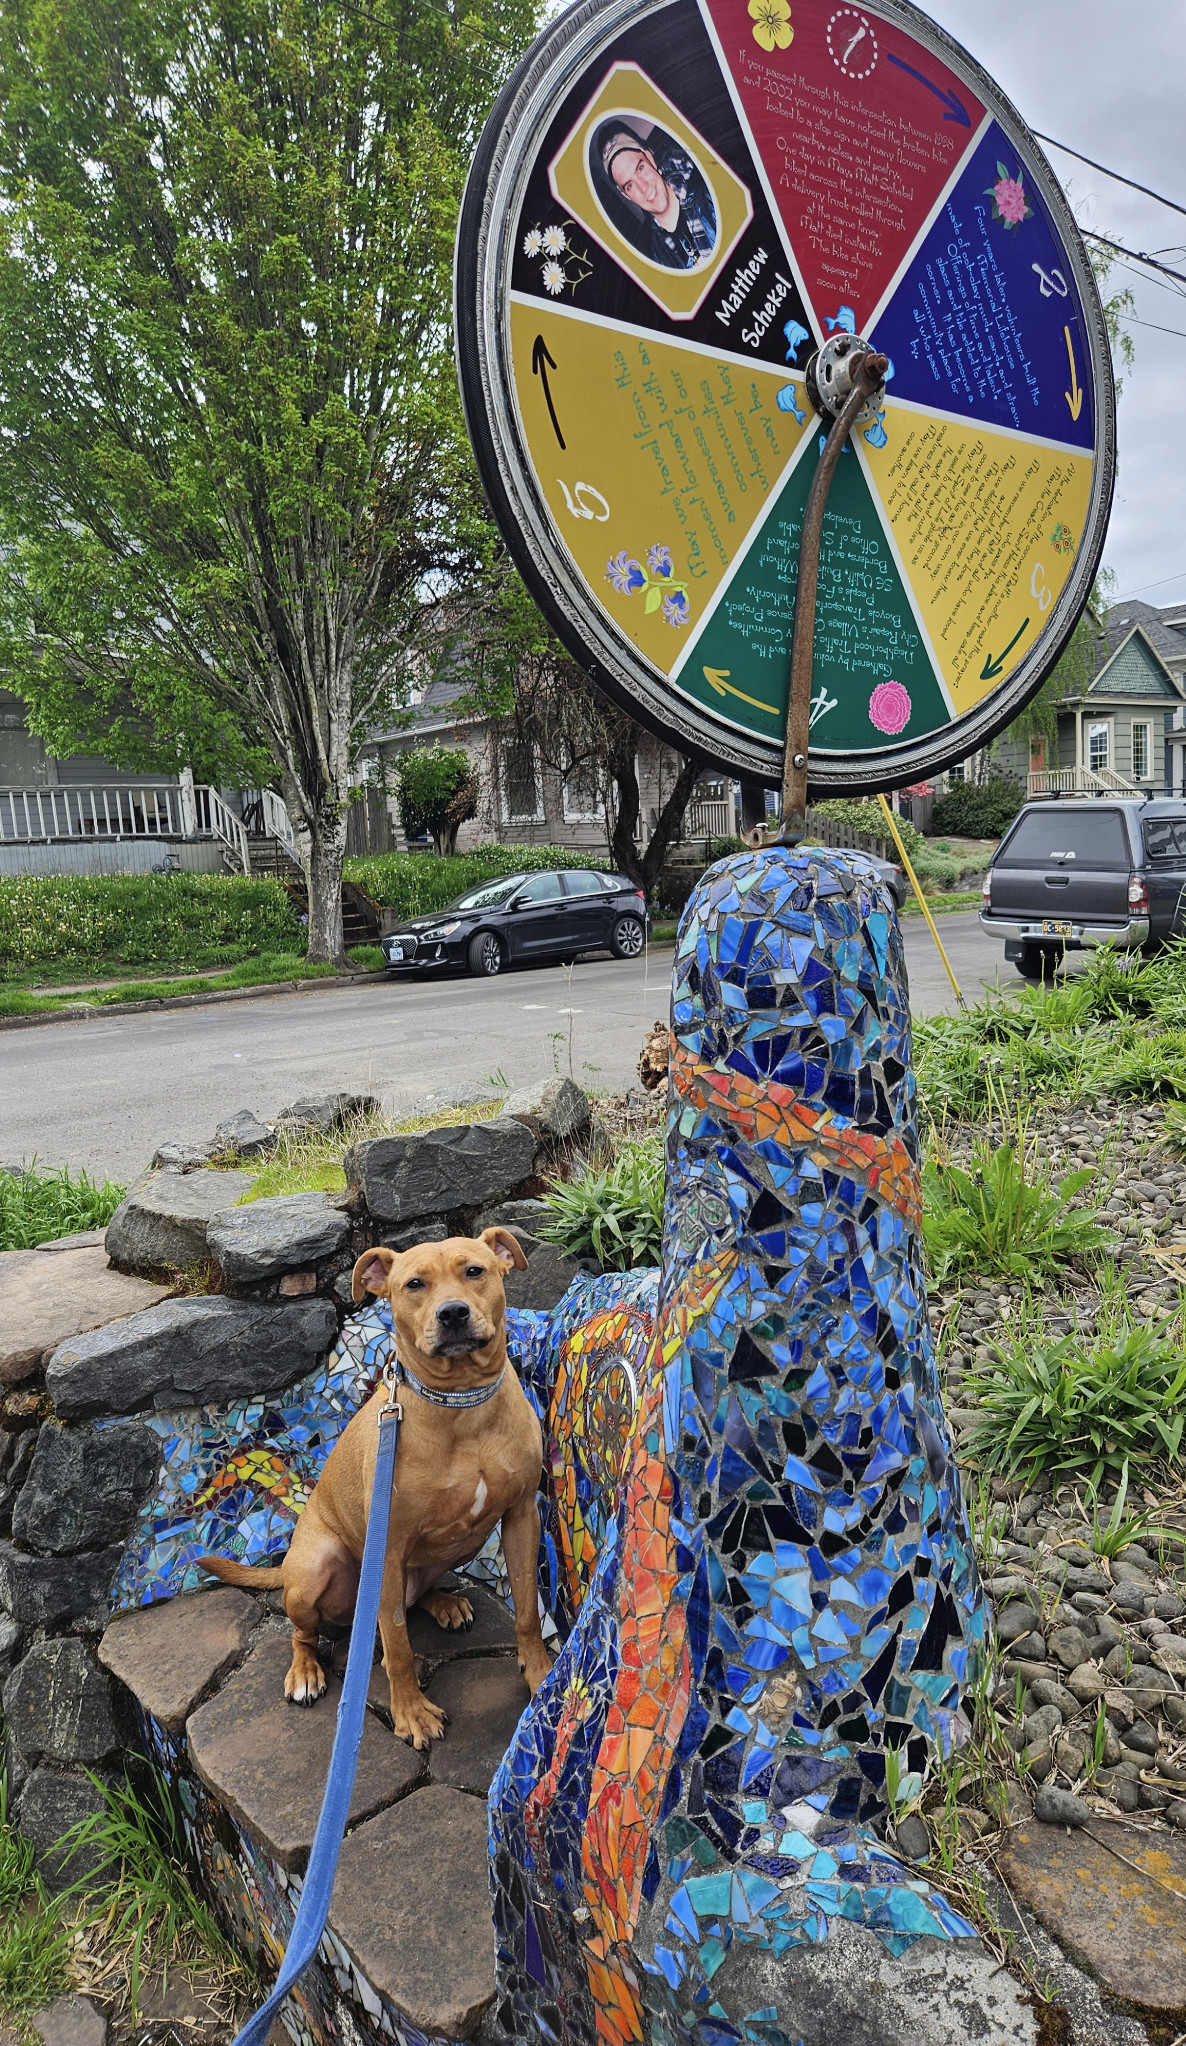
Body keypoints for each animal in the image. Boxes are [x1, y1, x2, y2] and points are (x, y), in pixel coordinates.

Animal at [198, 1227, 552, 1743]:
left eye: (475, 1271)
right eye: (414, 1284)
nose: (453, 1313)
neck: (462, 1406)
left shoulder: (521, 1516)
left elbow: (526, 1612)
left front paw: (542, 1677)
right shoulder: (387, 1548)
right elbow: (399, 1649)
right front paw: (411, 1712)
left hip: (458, 1546)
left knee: (412, 1597)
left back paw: (443, 1603)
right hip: (316, 1569)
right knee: (310, 1632)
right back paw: (305, 1671)